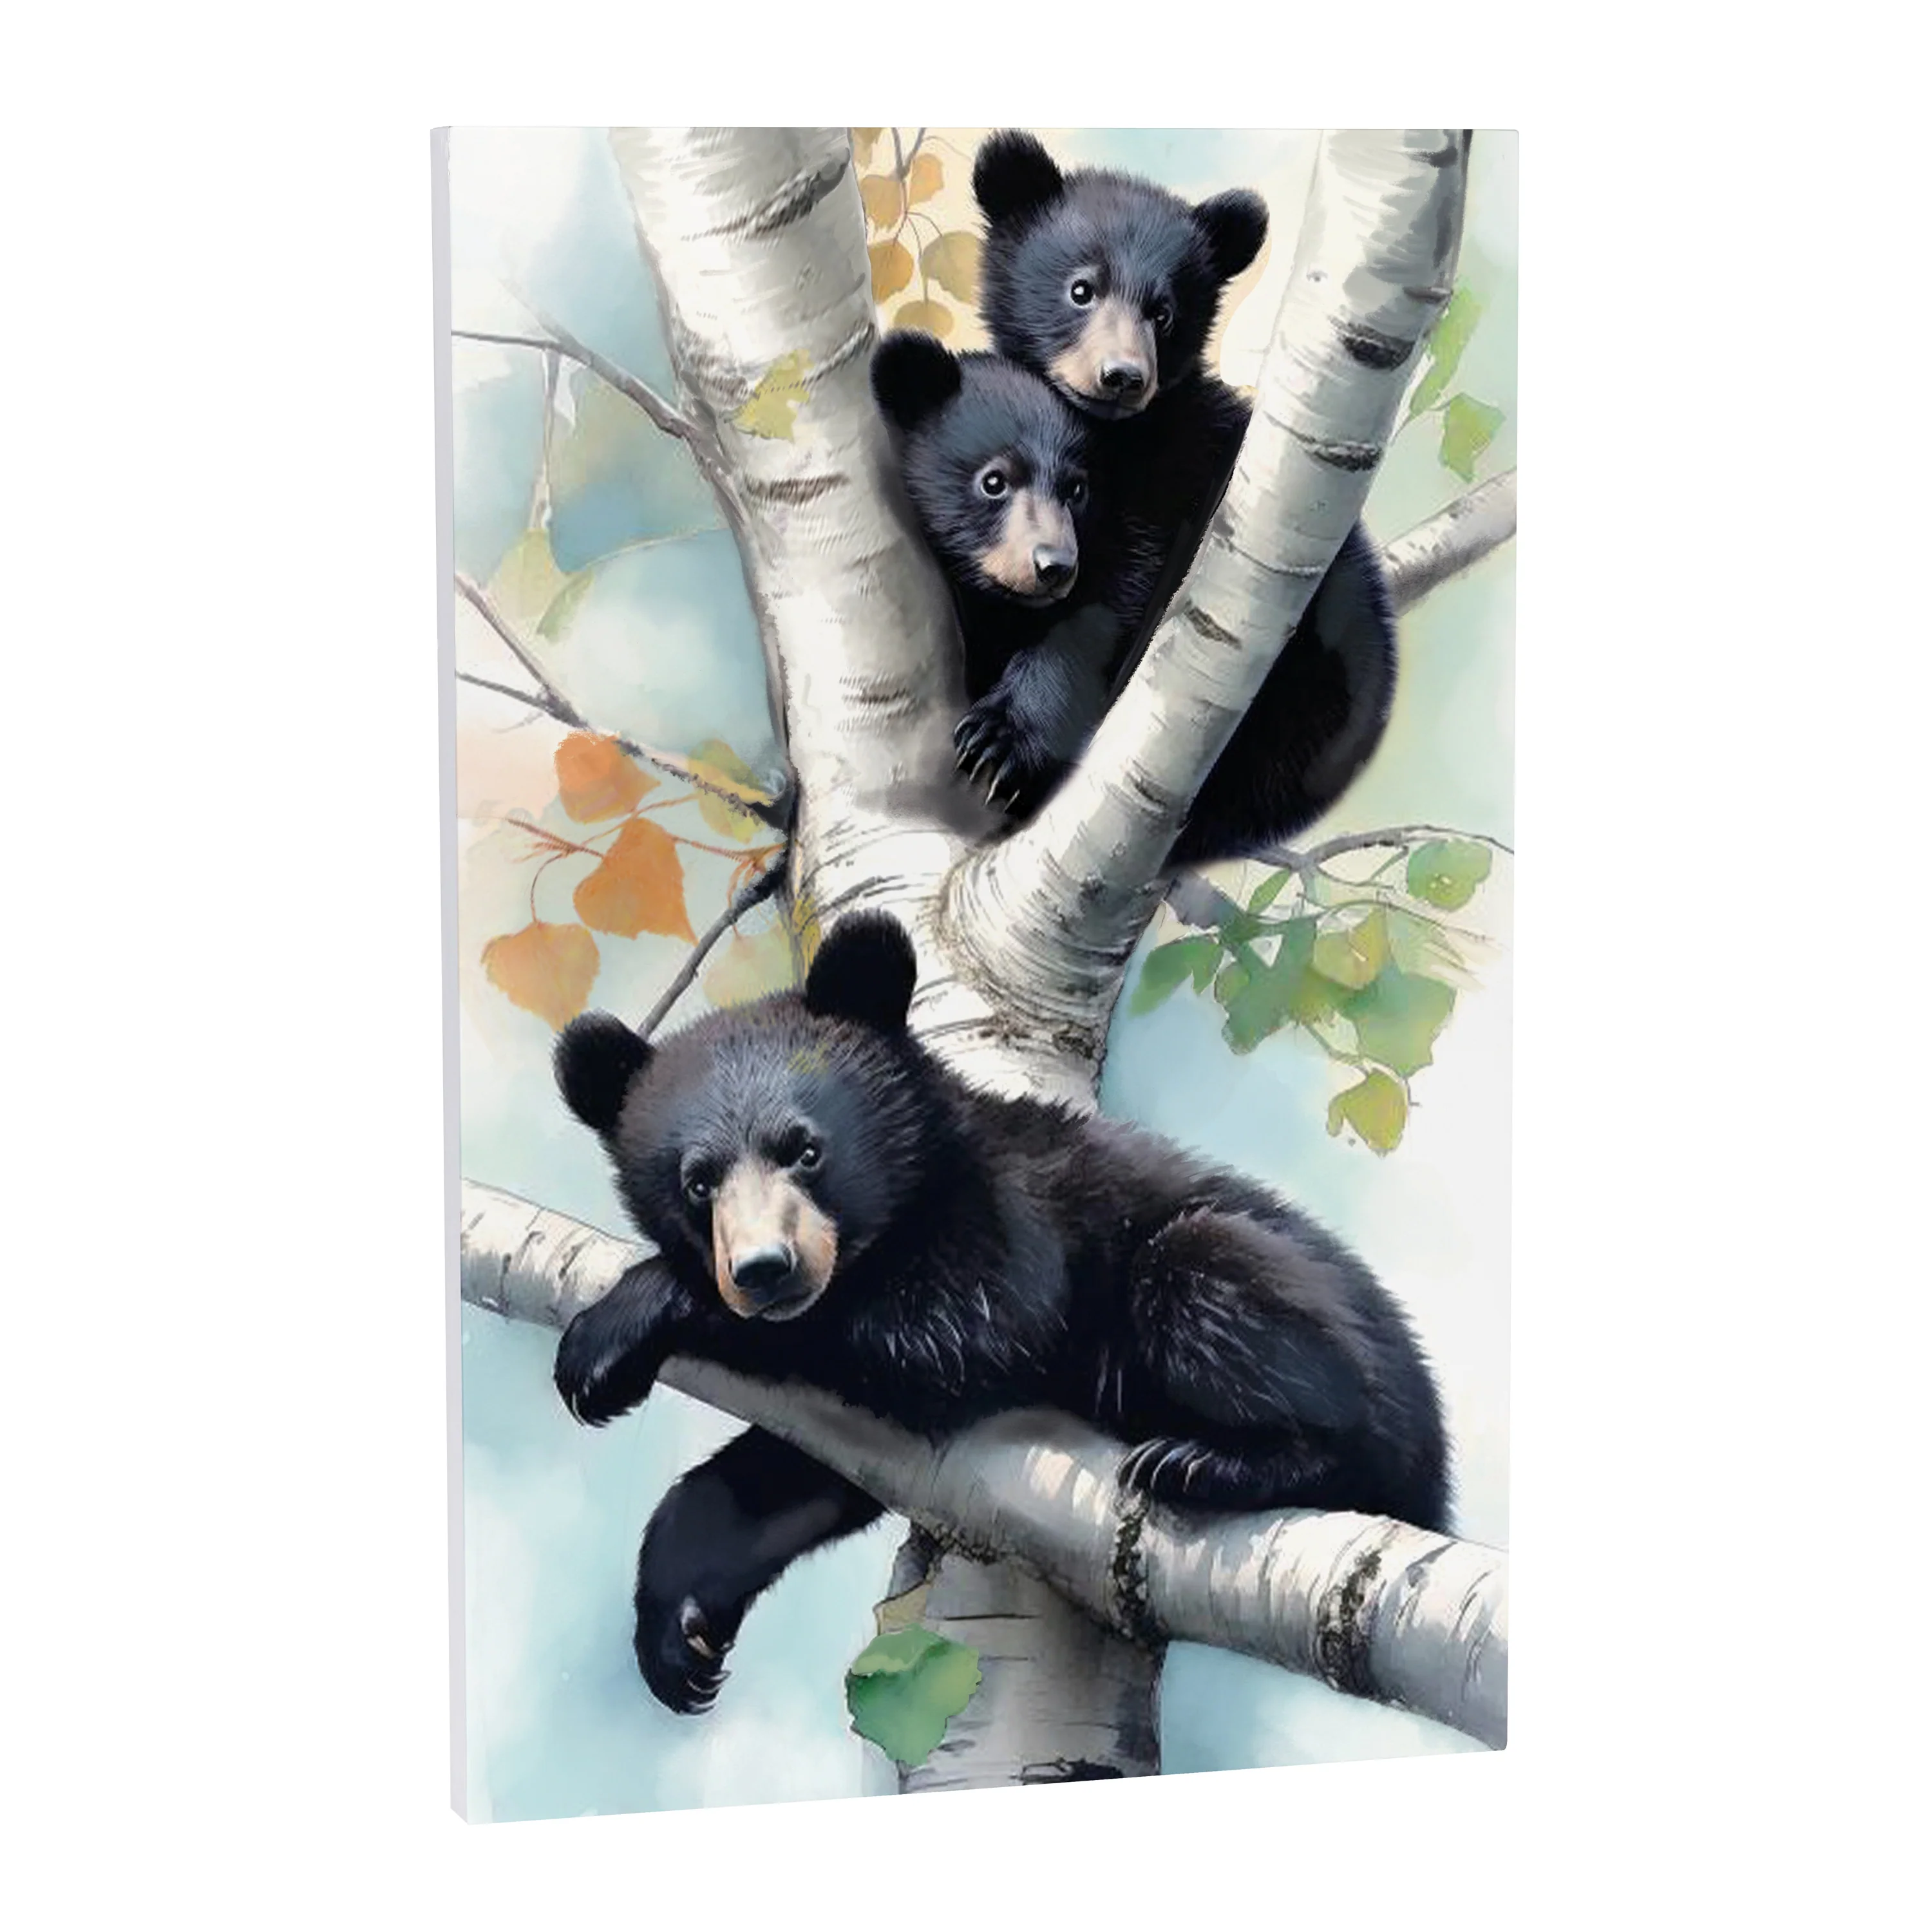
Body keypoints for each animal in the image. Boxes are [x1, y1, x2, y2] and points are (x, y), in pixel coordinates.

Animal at [552, 911, 1450, 1714]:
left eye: (806, 1150)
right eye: (698, 1181)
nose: (766, 1272)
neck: (913, 1199)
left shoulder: (1020, 1218)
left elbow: (958, 1334)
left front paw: (616, 1329)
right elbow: (791, 1474)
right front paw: (680, 1629)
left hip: (1284, 1315)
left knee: (1227, 1297)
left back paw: (1208, 1460)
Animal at [963, 129, 1402, 865]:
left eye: (1163, 312)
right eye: (1082, 289)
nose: (1122, 376)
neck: (1116, 440)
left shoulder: (1180, 483)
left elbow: (1111, 601)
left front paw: (1004, 738)